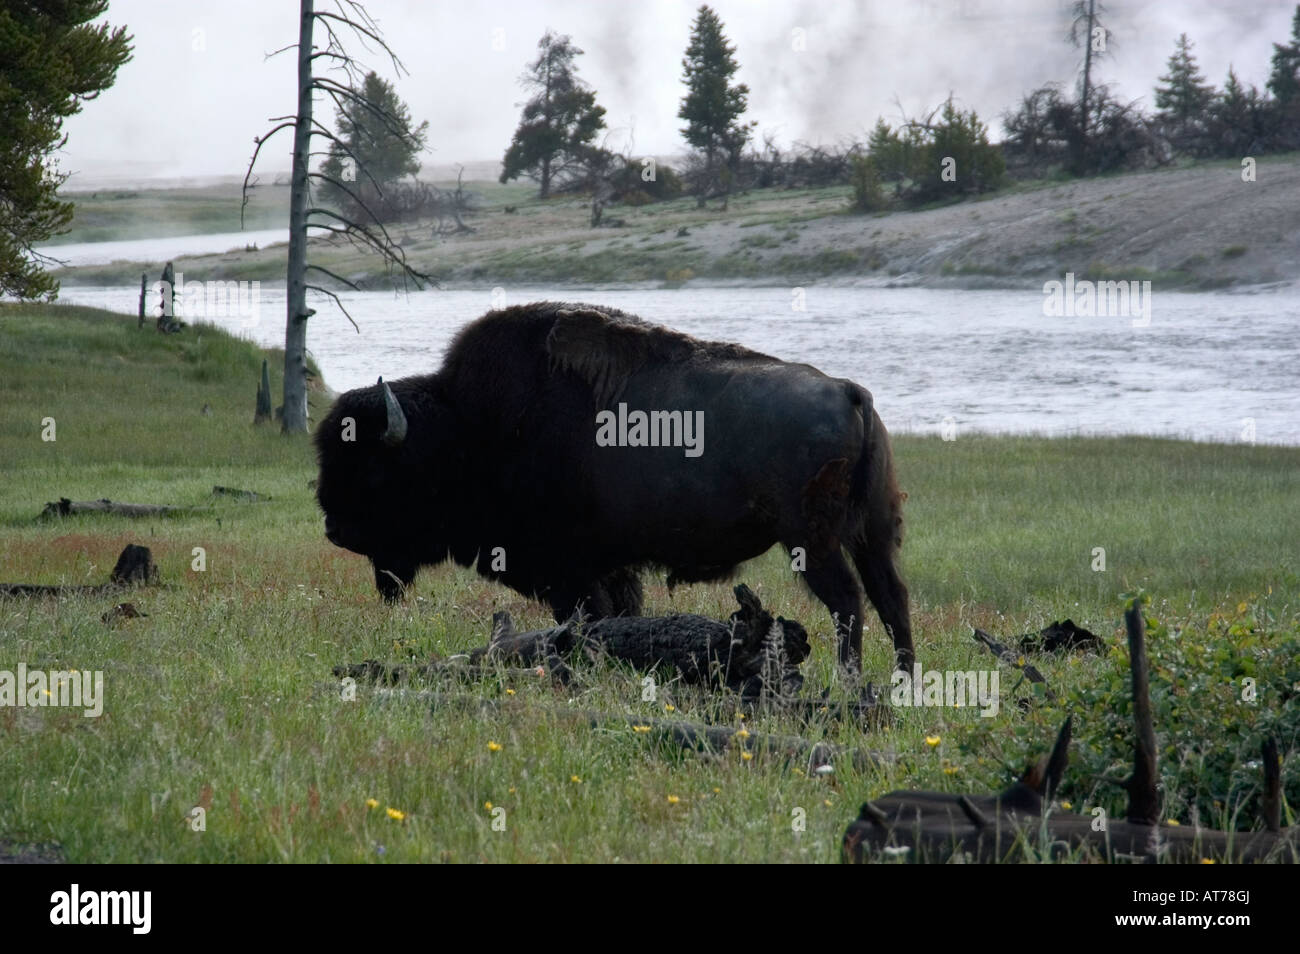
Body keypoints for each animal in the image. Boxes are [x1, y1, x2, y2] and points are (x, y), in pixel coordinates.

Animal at [314, 304, 915, 670]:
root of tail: (850, 391)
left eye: (373, 468)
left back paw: (853, 688)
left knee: (848, 604)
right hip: (872, 534)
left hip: (812, 542)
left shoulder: (569, 572)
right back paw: (897, 689)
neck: (468, 427)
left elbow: (587, 619)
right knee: (891, 600)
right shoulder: (608, 569)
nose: (335, 529)